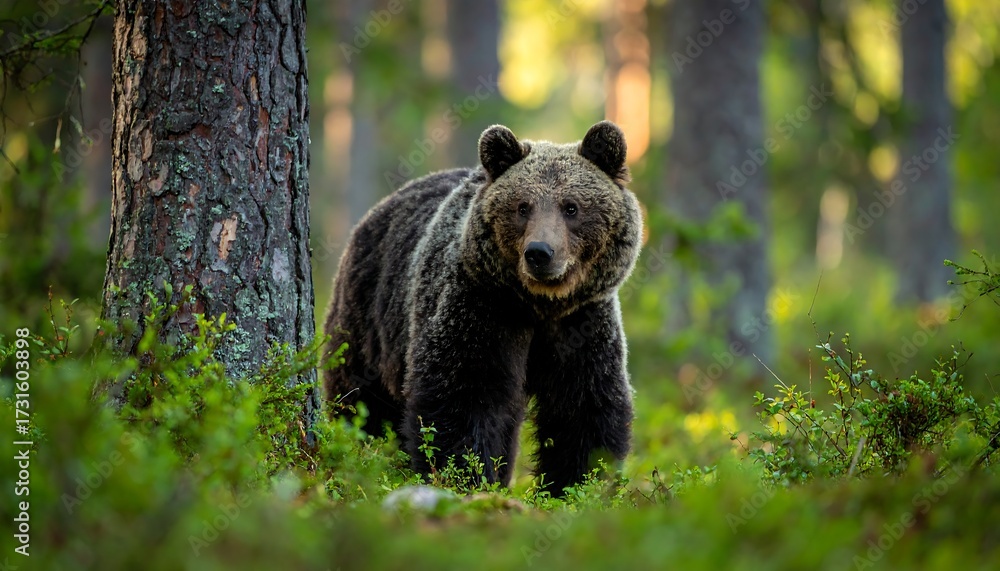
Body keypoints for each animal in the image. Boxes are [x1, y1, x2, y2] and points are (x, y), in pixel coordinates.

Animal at [323, 121, 643, 495]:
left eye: (571, 206)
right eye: (522, 206)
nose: (539, 252)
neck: (539, 306)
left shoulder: (582, 323)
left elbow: (584, 406)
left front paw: (576, 484)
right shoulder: (481, 306)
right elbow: (465, 394)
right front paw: (468, 478)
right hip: (368, 317)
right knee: (362, 400)